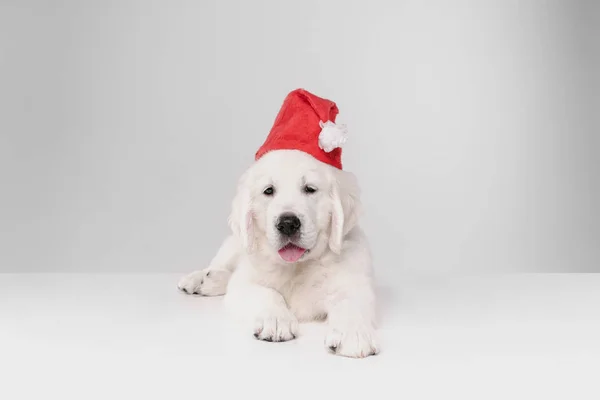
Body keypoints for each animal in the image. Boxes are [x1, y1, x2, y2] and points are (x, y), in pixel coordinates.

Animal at [176, 90, 378, 356]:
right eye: (268, 191)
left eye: (310, 189)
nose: (288, 223)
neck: (297, 268)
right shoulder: (245, 284)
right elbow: (266, 292)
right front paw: (276, 321)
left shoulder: (355, 282)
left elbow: (350, 302)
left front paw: (353, 333)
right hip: (235, 244)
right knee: (221, 265)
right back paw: (200, 278)